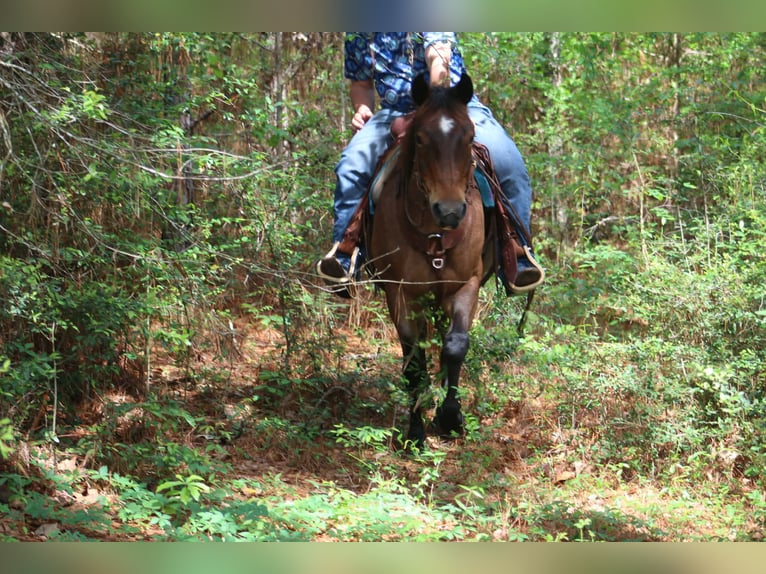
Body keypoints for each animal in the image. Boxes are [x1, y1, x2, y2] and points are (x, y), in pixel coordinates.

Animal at [367, 73, 493, 449]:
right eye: (420, 138)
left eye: (470, 136)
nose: (449, 211)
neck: (434, 234)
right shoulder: (400, 292)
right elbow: (413, 362)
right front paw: (415, 432)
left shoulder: (466, 283)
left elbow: (455, 346)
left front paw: (450, 417)